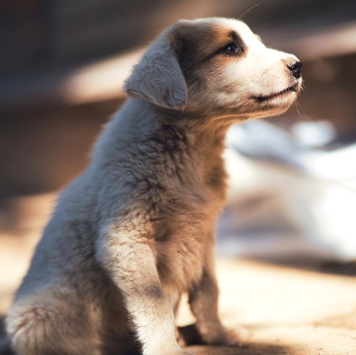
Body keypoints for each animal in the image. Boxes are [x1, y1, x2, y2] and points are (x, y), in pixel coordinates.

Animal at [4, 17, 300, 355]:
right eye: (230, 48)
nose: (297, 65)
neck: (192, 153)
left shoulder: (204, 236)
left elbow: (209, 293)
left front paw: (218, 334)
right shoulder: (126, 240)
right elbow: (155, 305)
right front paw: (166, 347)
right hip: (38, 318)